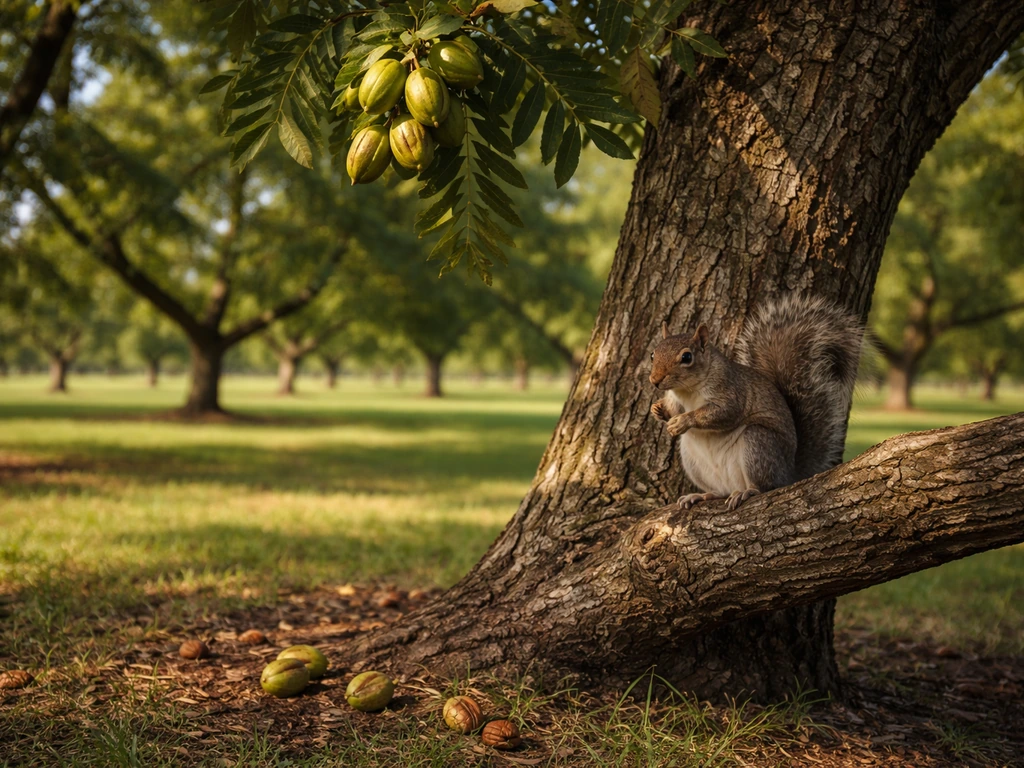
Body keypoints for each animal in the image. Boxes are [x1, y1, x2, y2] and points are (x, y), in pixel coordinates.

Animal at [649, 294, 863, 510]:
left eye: (687, 357)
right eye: (653, 354)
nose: (655, 380)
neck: (687, 390)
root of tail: (789, 474)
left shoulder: (731, 391)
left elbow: (724, 413)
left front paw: (684, 420)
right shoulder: (675, 399)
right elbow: (672, 409)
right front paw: (657, 409)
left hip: (758, 444)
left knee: (764, 486)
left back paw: (747, 492)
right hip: (693, 461)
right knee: (720, 491)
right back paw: (702, 495)